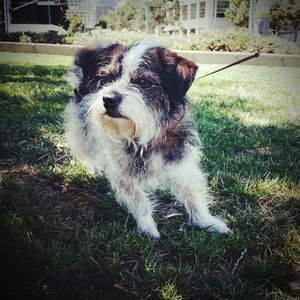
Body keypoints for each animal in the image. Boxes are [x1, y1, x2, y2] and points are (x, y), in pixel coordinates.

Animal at [64, 39, 231, 239]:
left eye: (143, 82)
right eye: (107, 79)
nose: (108, 99)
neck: (142, 137)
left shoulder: (181, 163)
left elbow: (193, 194)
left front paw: (207, 222)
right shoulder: (123, 174)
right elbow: (139, 200)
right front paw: (147, 227)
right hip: (82, 131)